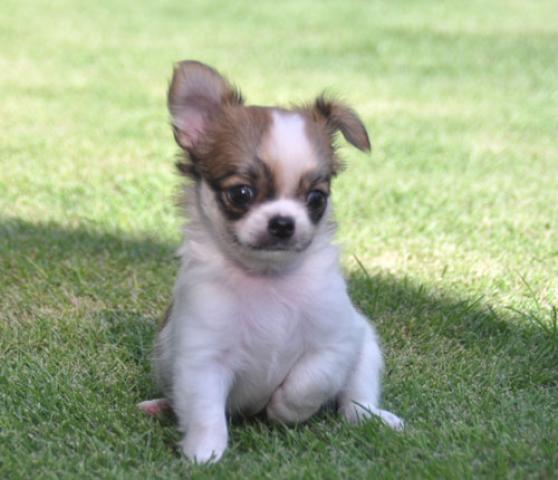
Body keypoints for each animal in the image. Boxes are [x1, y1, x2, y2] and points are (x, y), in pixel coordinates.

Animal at [138, 60, 404, 463]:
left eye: (316, 198)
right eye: (241, 194)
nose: (283, 223)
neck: (267, 278)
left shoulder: (337, 340)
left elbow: (310, 382)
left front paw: (282, 410)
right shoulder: (201, 358)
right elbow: (205, 411)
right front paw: (204, 453)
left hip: (367, 348)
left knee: (355, 400)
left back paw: (374, 417)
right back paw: (160, 406)